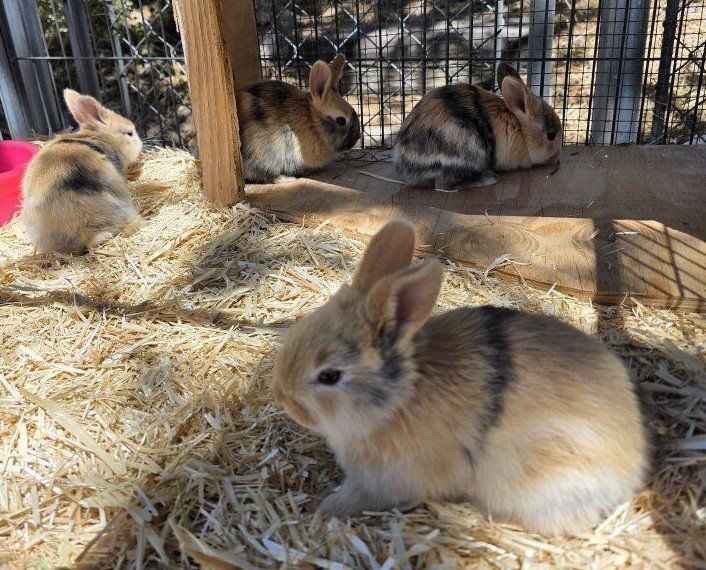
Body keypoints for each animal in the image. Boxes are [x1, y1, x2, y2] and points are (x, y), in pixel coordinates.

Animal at [272, 220, 648, 535]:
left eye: (330, 376)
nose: (283, 397)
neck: (399, 398)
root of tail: (632, 466)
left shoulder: (385, 479)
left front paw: (327, 508)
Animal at [393, 63, 563, 192]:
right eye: (551, 135)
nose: (555, 157)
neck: (520, 128)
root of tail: (407, 167)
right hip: (465, 150)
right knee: (444, 184)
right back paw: (488, 178)